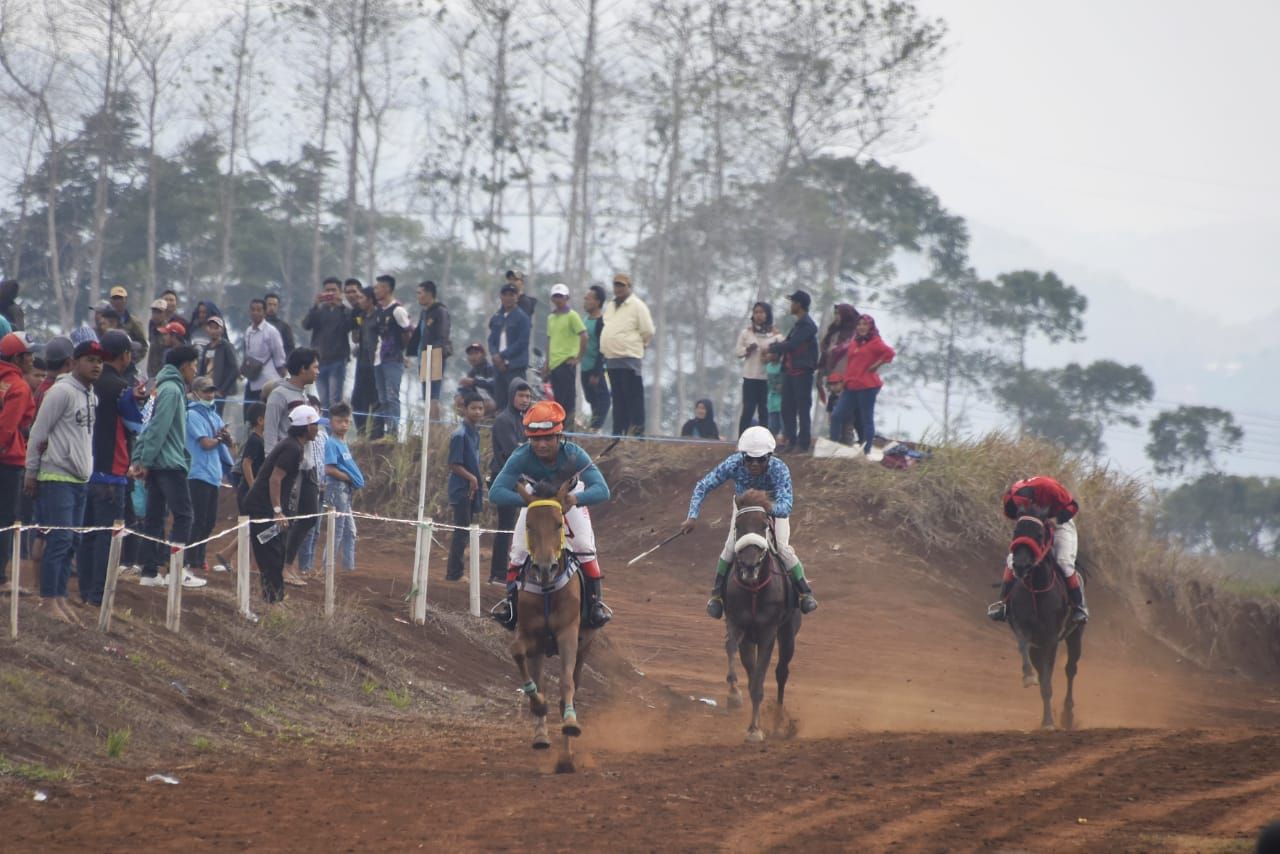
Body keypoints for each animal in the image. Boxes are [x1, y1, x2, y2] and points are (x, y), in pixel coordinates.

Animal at [509, 481, 593, 773]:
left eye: (558, 524)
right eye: (529, 525)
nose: (545, 568)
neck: (547, 589)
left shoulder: (568, 632)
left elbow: (566, 683)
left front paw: (570, 723)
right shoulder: (531, 635)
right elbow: (518, 653)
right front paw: (537, 705)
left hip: (584, 646)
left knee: (573, 685)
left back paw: (566, 754)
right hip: (540, 650)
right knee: (541, 680)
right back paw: (542, 737)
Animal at [721, 491, 798, 742]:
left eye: (764, 525)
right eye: (738, 525)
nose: (749, 566)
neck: (754, 589)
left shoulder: (768, 633)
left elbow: (760, 681)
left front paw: (755, 729)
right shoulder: (739, 625)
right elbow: (732, 649)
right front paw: (734, 694)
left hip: (788, 633)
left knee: (782, 672)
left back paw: (778, 722)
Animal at [1003, 517, 1085, 732]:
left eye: (1039, 534)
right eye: (1016, 530)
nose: (1020, 566)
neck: (1036, 588)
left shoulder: (1051, 639)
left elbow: (1048, 681)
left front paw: (1049, 722)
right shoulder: (1023, 628)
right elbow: (1024, 648)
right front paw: (1027, 676)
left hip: (1075, 636)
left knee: (1070, 669)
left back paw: (1067, 716)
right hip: (1038, 645)